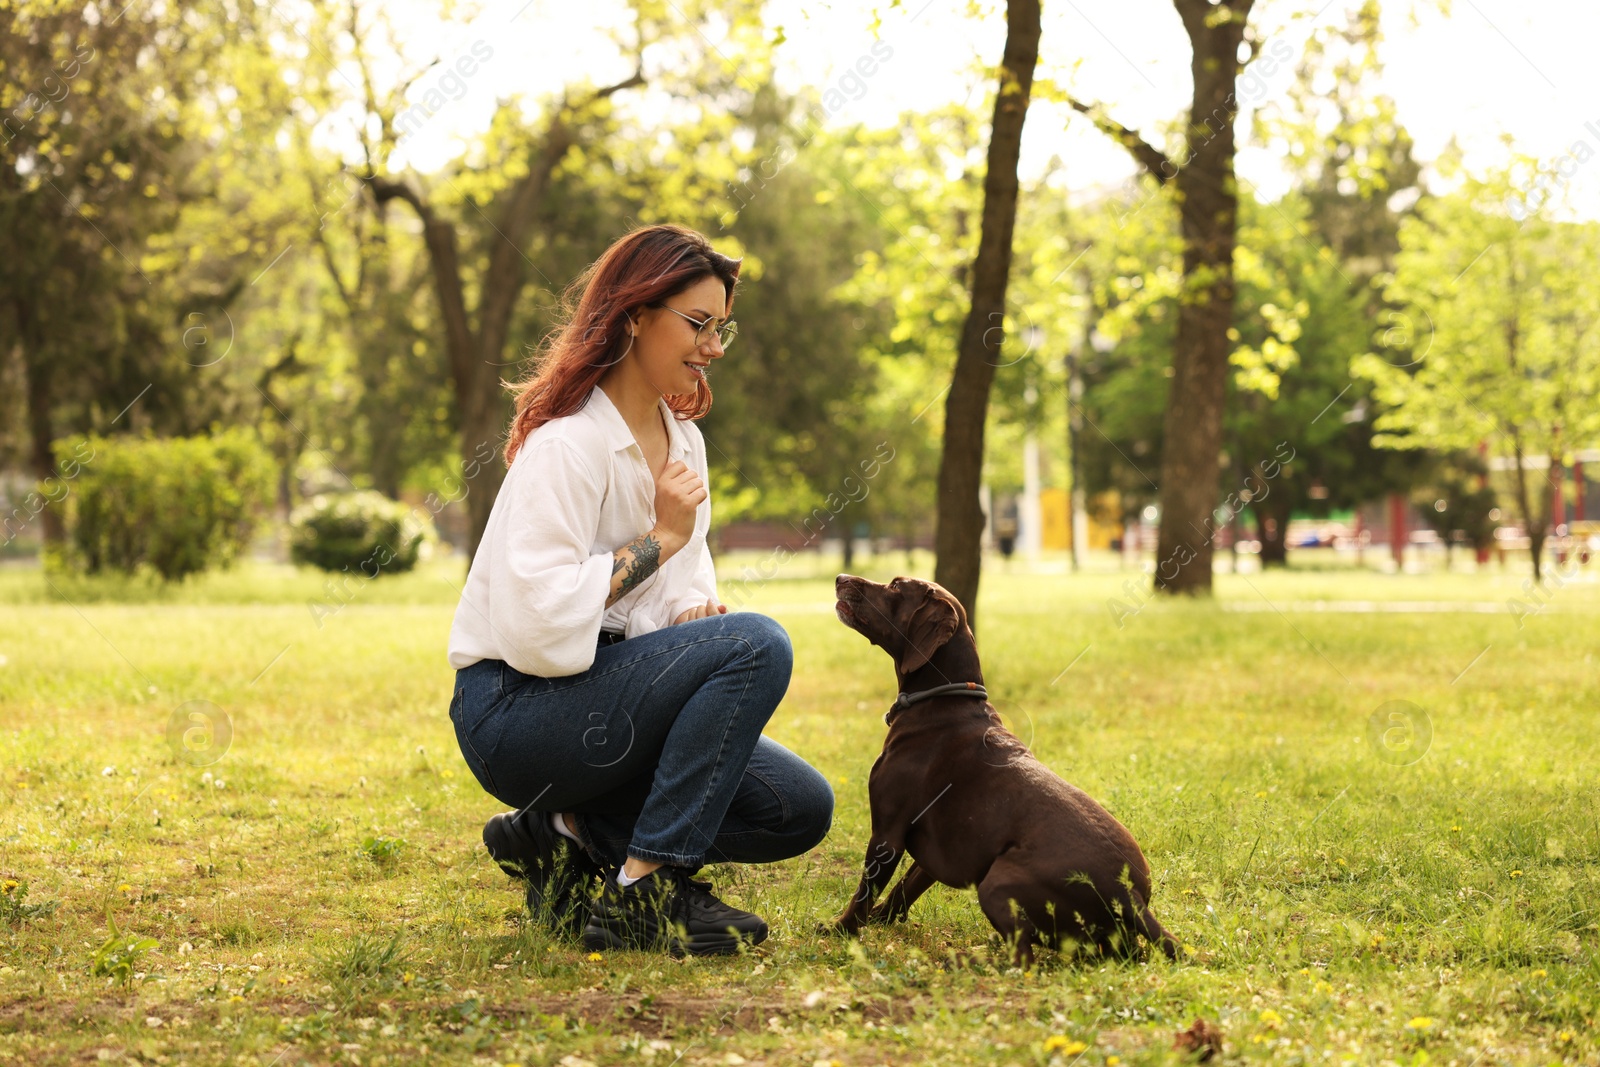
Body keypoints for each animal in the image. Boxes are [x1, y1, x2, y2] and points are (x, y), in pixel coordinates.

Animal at [832, 575, 1184, 966]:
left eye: (895, 585)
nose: (841, 579)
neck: (942, 701)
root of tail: (1130, 898)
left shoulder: (887, 835)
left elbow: (865, 893)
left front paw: (839, 931)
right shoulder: (937, 850)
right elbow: (903, 890)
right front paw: (882, 920)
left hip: (997, 883)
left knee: (1023, 960)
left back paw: (967, 960)